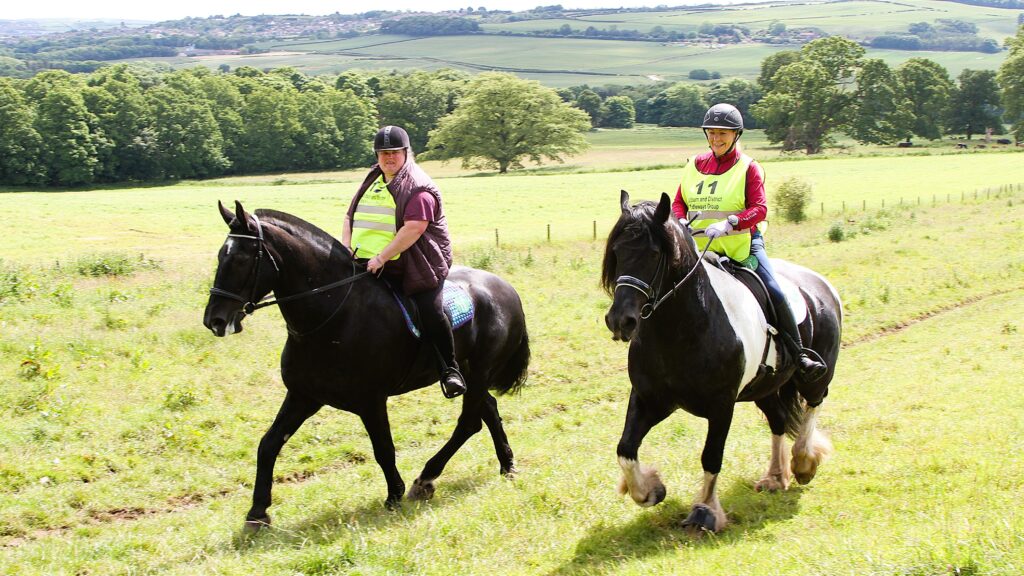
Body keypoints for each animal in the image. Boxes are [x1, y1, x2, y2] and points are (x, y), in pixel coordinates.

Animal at [598, 190, 839, 532]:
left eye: (655, 253)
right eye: (617, 251)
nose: (620, 321)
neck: (681, 329)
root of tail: (820, 284)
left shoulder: (721, 405)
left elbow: (711, 456)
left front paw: (705, 510)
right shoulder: (649, 399)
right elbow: (626, 449)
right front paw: (649, 489)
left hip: (815, 377)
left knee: (812, 406)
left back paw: (804, 462)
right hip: (764, 388)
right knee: (778, 420)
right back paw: (775, 477)